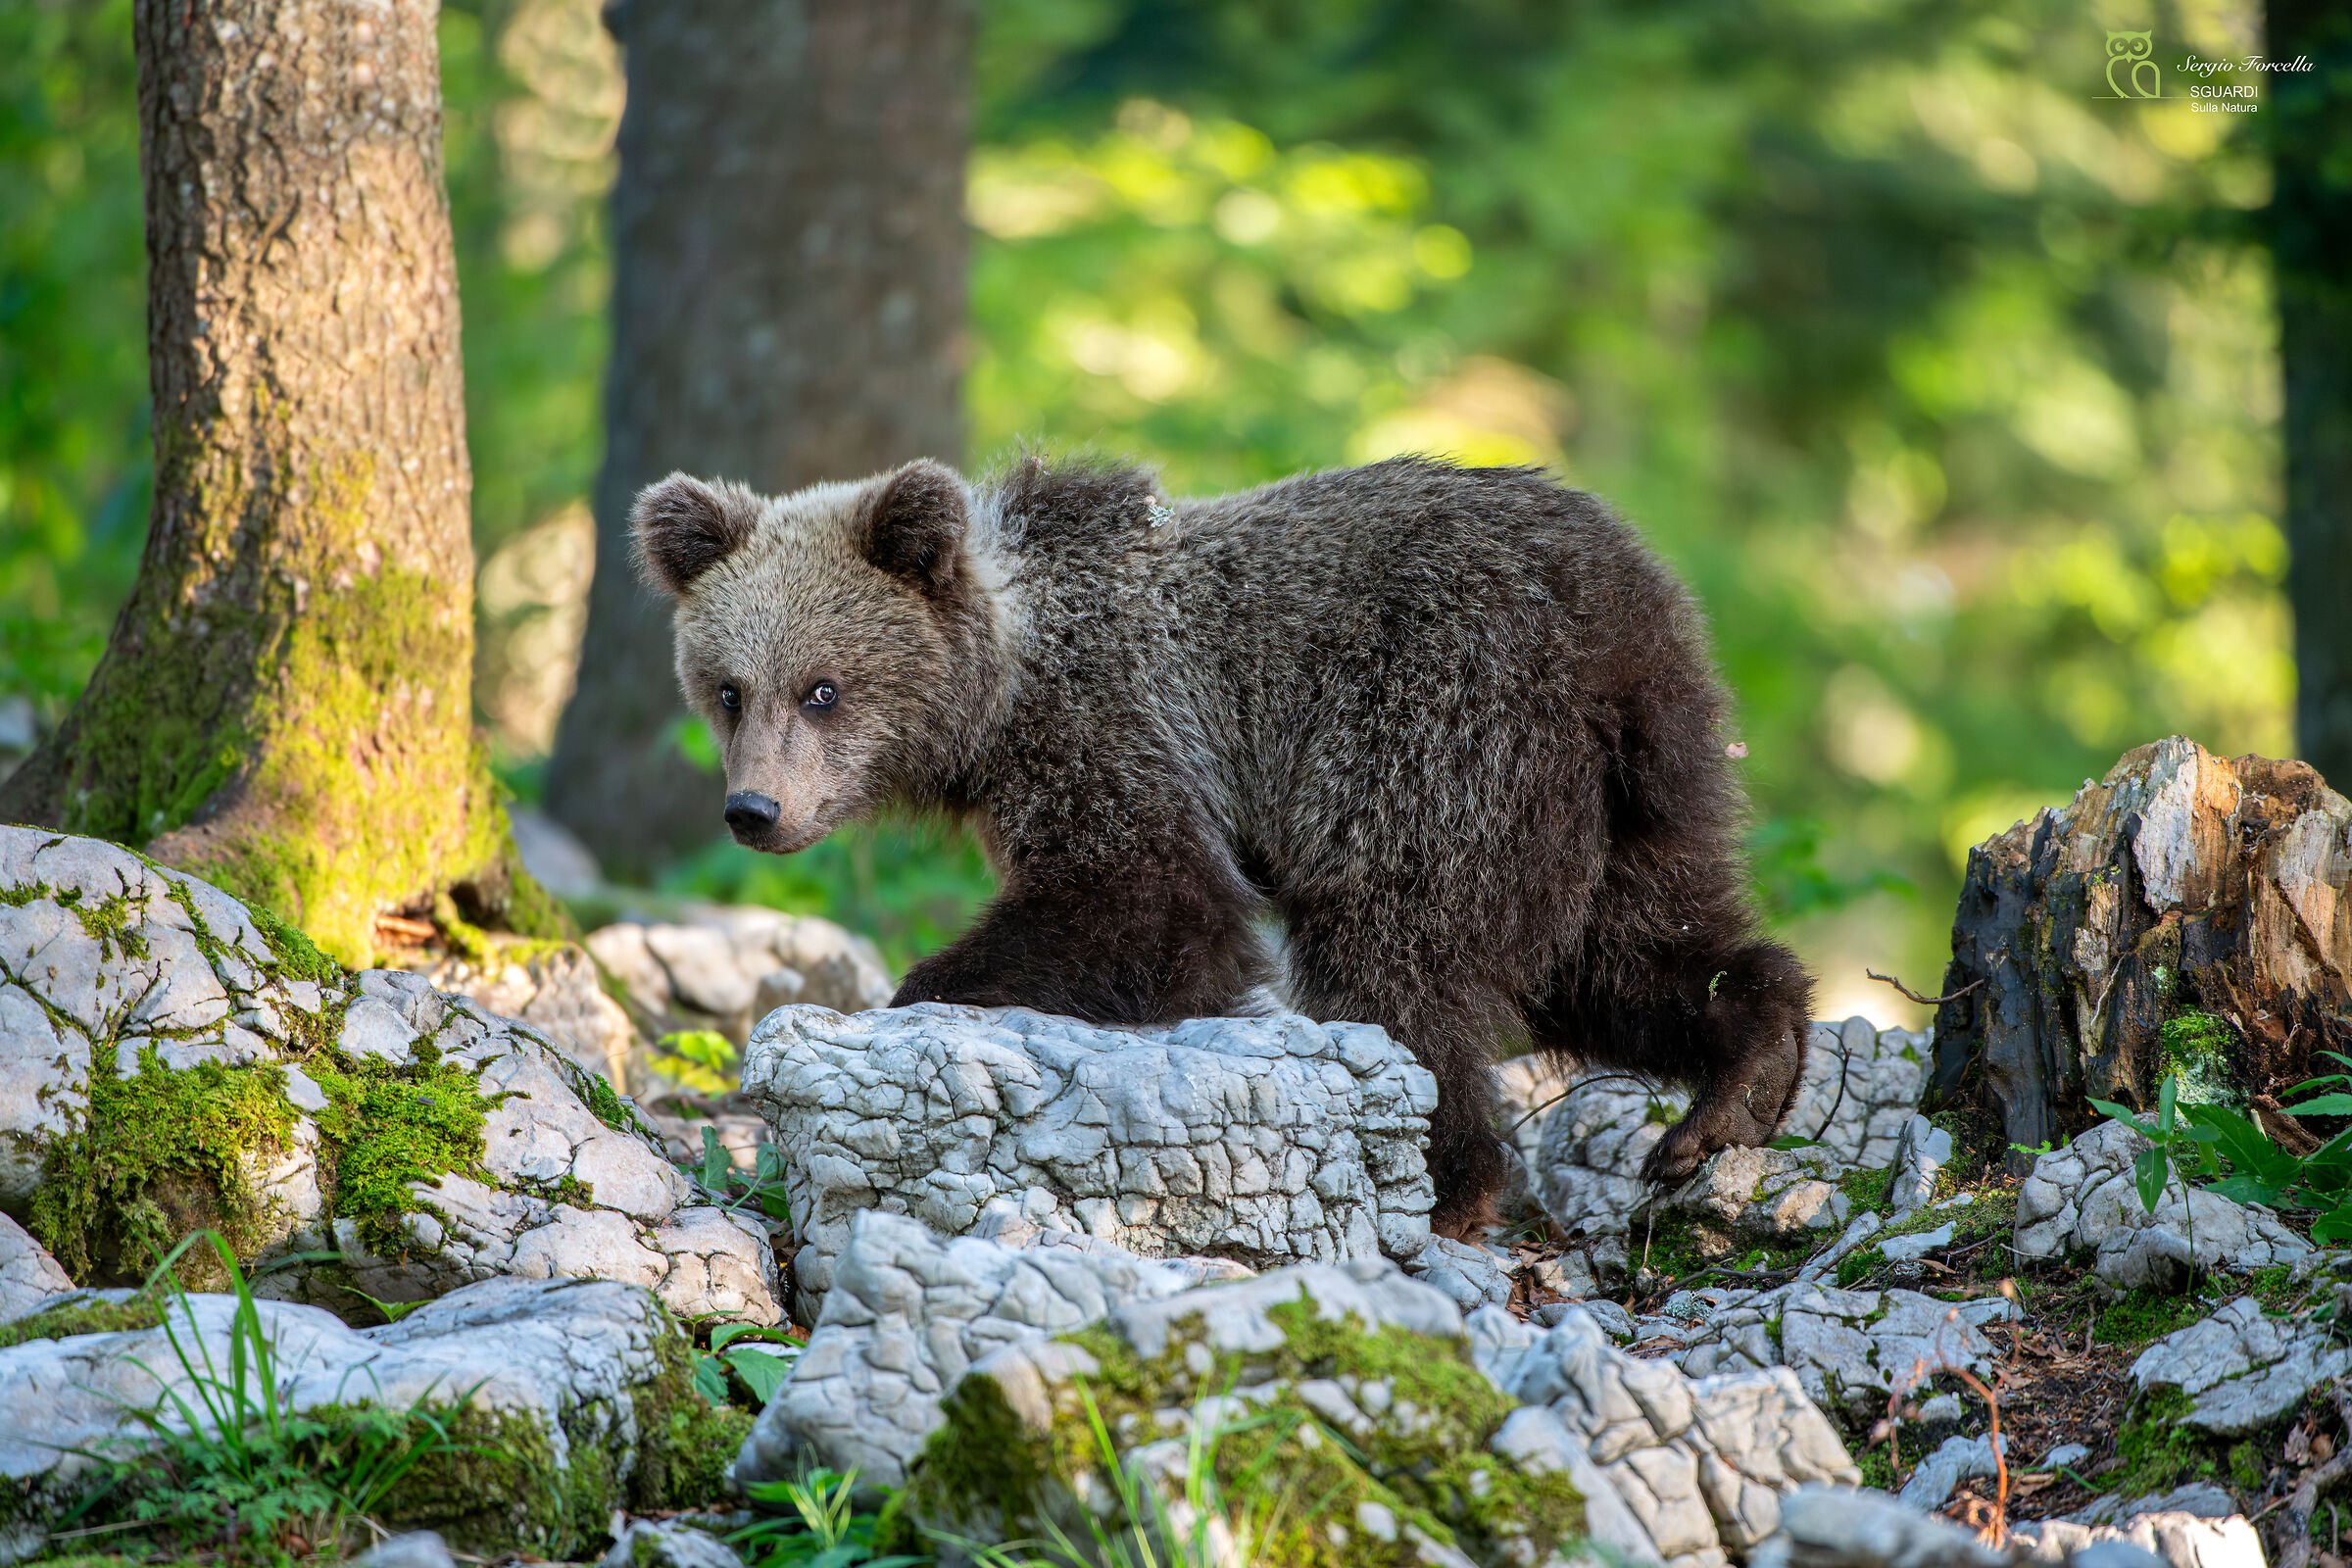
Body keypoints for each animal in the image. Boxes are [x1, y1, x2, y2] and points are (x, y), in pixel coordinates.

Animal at [633, 454, 1814, 1234]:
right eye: (729, 689)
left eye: (822, 688)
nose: (754, 809)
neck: (1000, 692)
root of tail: (1621, 611)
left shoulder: (1116, 724)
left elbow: (1159, 903)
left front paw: (927, 987)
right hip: (1635, 783)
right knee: (1625, 948)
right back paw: (1739, 1081)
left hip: (1445, 730)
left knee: (1395, 955)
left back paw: (1446, 1182)